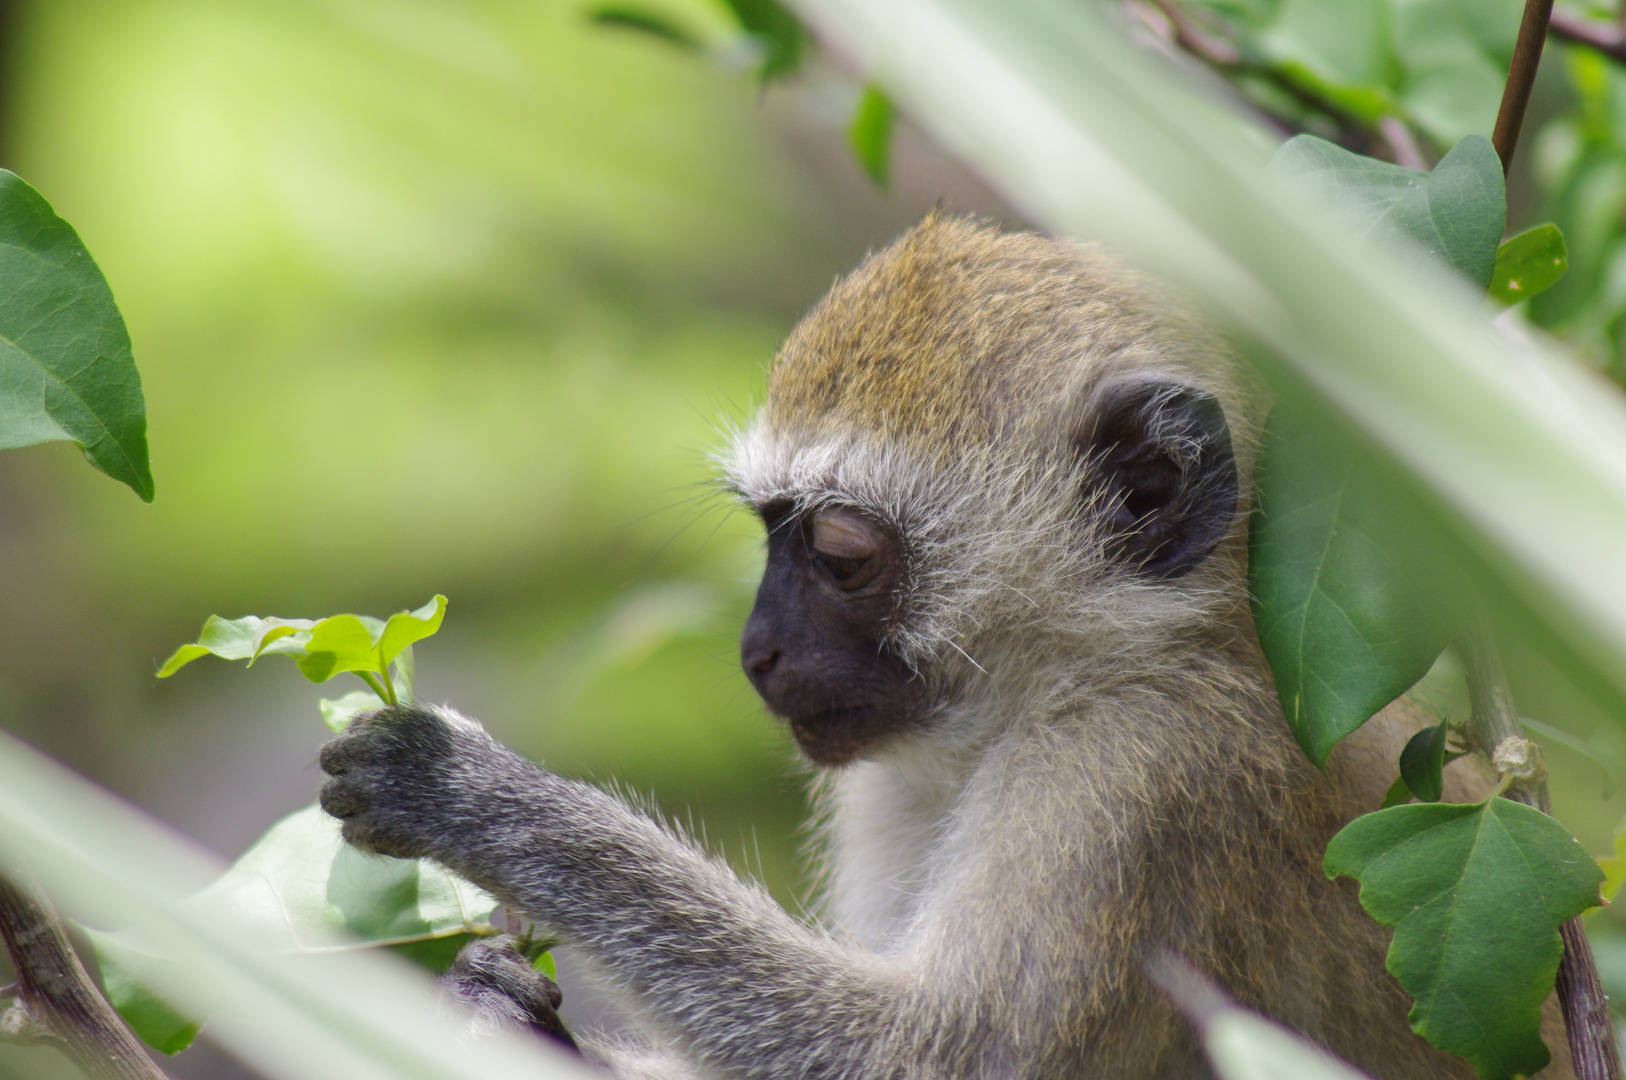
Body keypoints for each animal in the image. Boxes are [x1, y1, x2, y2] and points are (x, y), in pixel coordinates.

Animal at [320, 213, 1560, 1080]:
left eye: (840, 555)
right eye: (768, 533)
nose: (757, 652)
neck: (1107, 661)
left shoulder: (1140, 778)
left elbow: (925, 1054)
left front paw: (469, 791)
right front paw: (496, 1007)